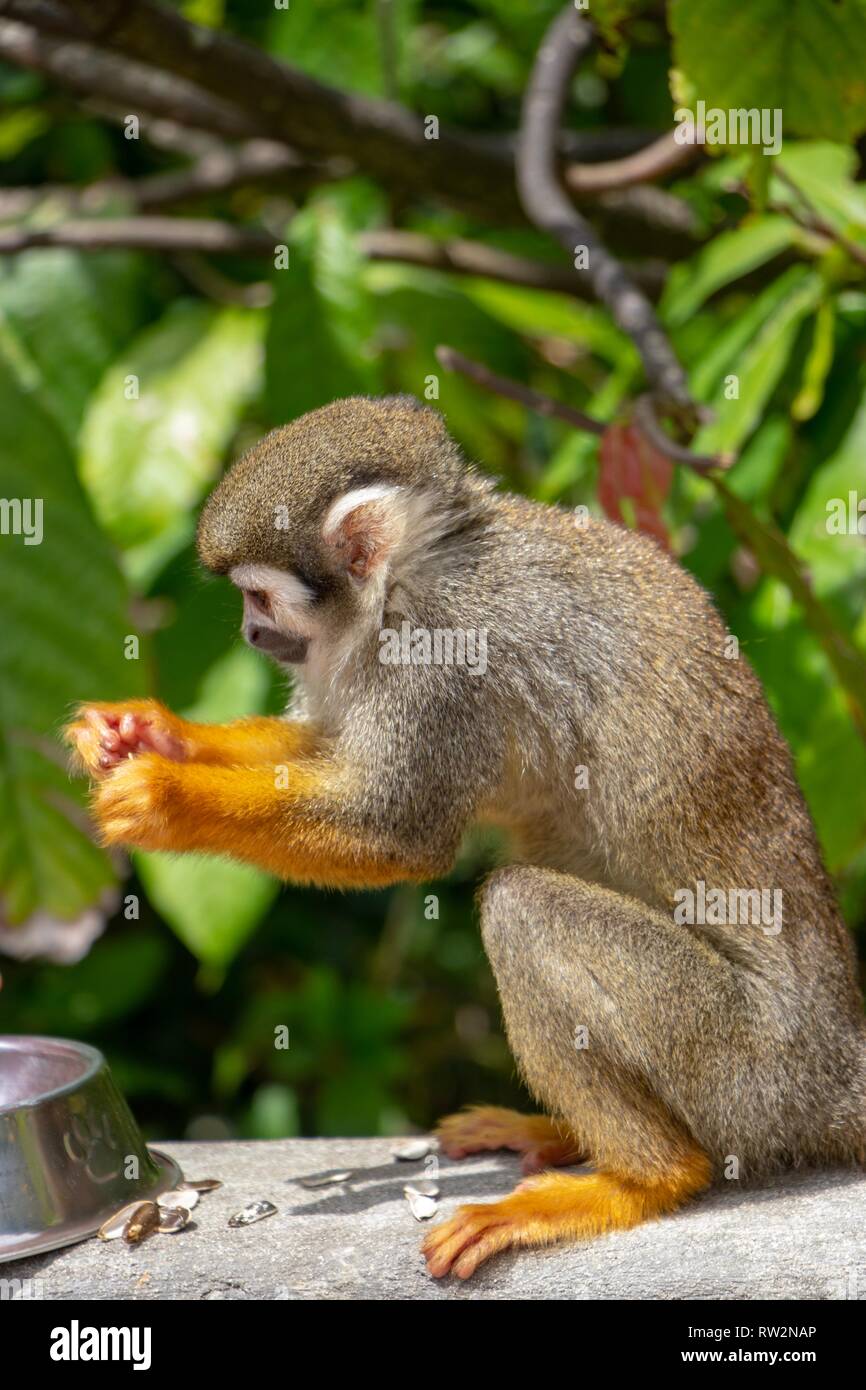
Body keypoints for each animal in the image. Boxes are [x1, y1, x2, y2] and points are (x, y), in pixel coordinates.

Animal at [65, 394, 866, 1281]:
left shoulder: (444, 652)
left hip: (744, 1069)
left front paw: (167, 798)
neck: (413, 574)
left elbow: (397, 834)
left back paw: (641, 1178)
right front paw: (148, 733)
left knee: (524, 911)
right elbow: (330, 752)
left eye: (259, 599)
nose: (249, 636)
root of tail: (837, 1073)